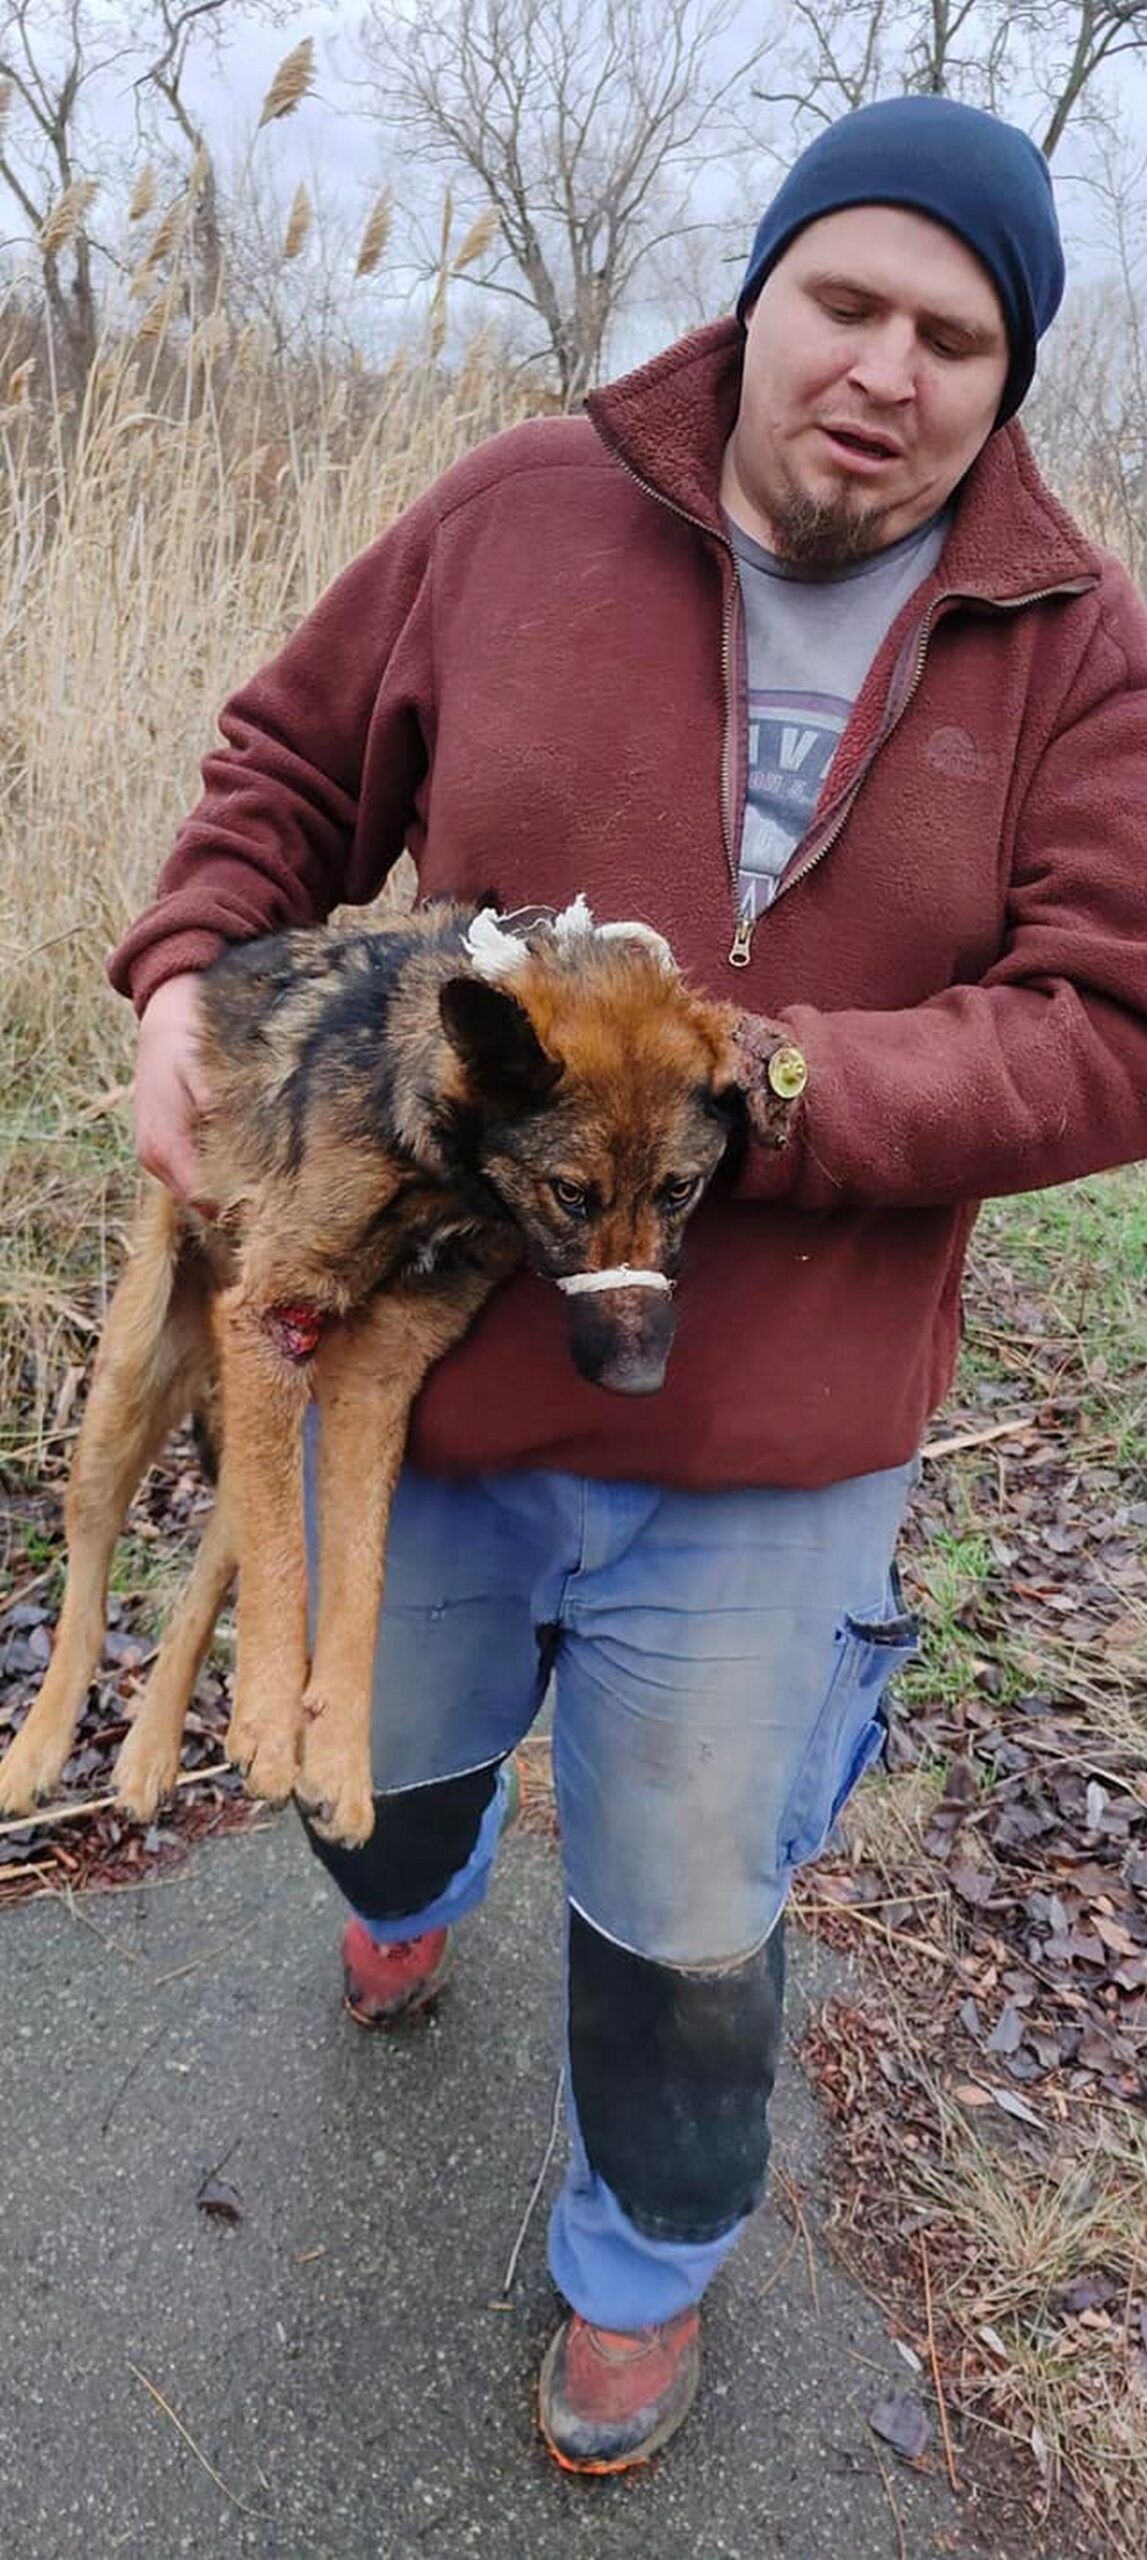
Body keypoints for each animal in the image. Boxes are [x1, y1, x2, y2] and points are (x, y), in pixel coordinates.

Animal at [0, 901, 809, 1843]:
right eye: (571, 1193)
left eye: (681, 1190)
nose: (639, 1380)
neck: (435, 1165)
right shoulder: (272, 1322)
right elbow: (288, 1569)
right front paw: (270, 1725)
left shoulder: (372, 1379)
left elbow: (359, 1580)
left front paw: (336, 1760)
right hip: (130, 1399)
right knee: (89, 1592)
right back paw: (39, 1750)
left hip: (255, 1431)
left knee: (206, 1580)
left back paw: (150, 1751)